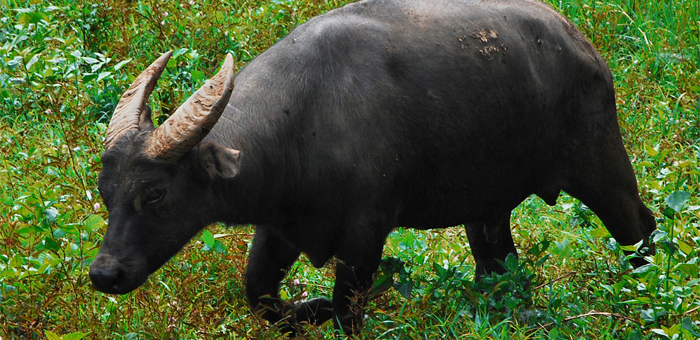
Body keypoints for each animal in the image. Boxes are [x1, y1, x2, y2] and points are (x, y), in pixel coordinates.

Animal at [89, 0, 656, 334]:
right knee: (498, 263)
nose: (104, 274)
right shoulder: (278, 229)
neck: (305, 120)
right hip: (487, 206)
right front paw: (306, 309)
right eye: (105, 192)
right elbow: (261, 298)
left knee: (640, 228)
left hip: (601, 164)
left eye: (155, 194)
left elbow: (346, 311)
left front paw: (322, 308)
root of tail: (581, 45)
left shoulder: (365, 236)